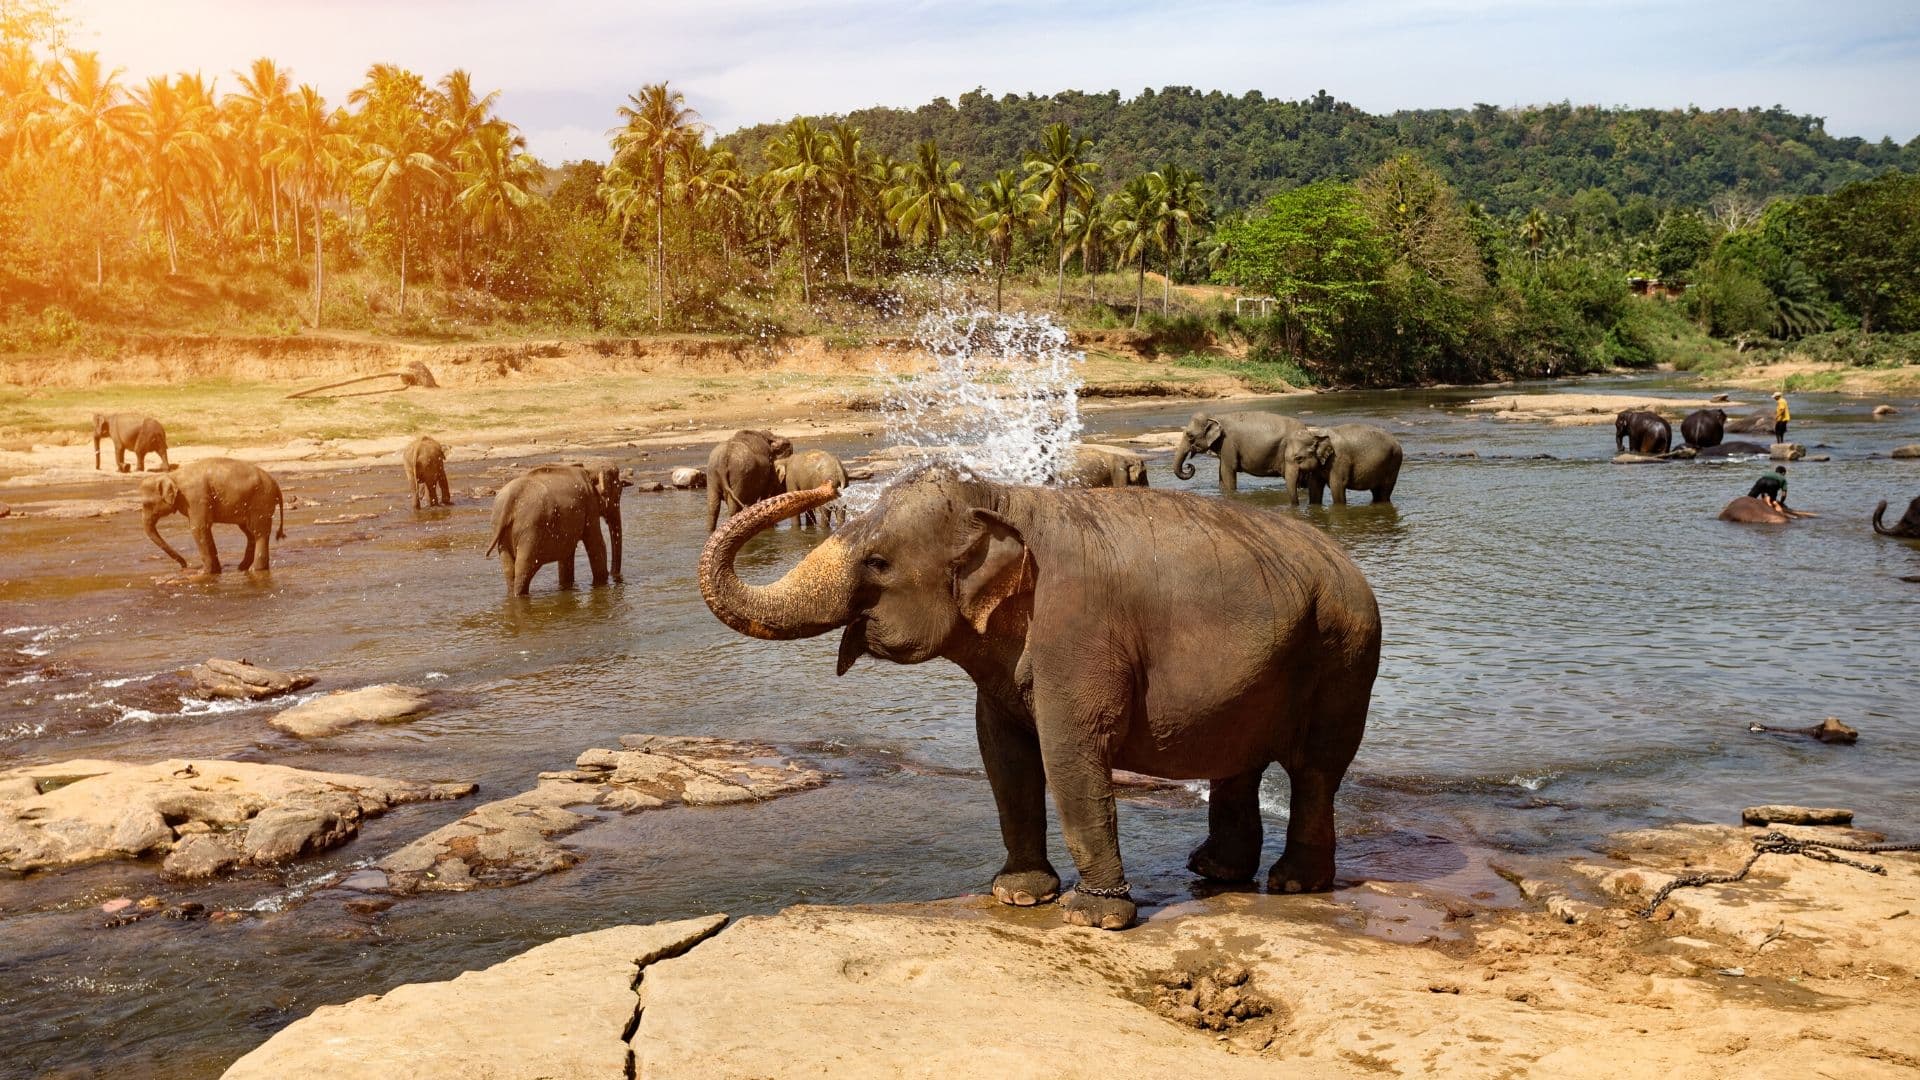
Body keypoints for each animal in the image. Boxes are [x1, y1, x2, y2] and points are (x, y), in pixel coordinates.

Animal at [140, 453, 286, 572]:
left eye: (146, 504)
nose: (185, 565)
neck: (172, 476)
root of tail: (276, 485)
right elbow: (203, 529)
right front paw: (216, 570)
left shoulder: (196, 498)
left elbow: (198, 528)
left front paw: (204, 573)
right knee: (249, 532)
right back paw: (242, 567)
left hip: (261, 500)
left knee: (259, 532)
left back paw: (255, 569)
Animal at [702, 463, 1382, 926]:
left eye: (877, 563)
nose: (827, 487)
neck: (999, 497)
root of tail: (1349, 563)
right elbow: (1003, 755)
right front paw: (1019, 894)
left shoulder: (1078, 629)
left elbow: (1070, 751)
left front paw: (1094, 917)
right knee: (1239, 760)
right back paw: (1214, 870)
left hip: (1345, 653)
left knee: (1317, 768)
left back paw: (1294, 885)